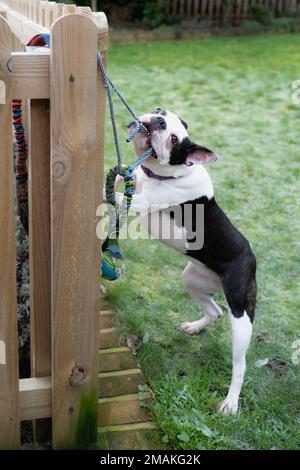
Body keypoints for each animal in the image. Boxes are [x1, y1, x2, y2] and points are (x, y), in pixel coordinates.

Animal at [113, 107, 256, 414]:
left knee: (240, 364)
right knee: (214, 310)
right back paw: (195, 326)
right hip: (193, 278)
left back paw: (230, 403)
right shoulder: (135, 180)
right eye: (161, 111)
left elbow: (118, 195)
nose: (157, 120)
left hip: (241, 315)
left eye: (174, 139)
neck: (168, 173)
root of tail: (251, 258)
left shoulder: (141, 201)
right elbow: (121, 179)